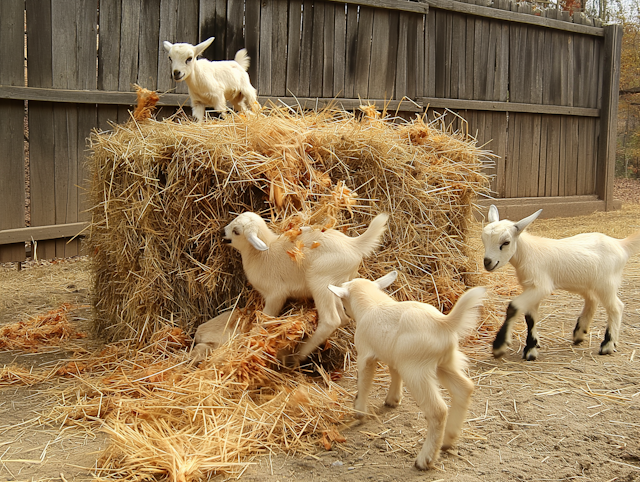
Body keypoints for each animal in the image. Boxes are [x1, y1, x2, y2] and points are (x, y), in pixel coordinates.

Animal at [222, 211, 388, 362]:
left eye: (236, 231)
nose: (222, 232)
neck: (262, 254)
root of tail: (354, 245)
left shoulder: (275, 294)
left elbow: (265, 318)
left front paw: (251, 339)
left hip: (320, 280)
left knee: (331, 320)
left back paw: (298, 355)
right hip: (337, 284)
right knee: (343, 317)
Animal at [330, 272, 484, 470]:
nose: (346, 313)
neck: (372, 304)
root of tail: (443, 323)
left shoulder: (365, 355)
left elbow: (363, 383)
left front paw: (359, 412)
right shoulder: (393, 357)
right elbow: (394, 372)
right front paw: (393, 400)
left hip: (416, 370)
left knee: (438, 410)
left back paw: (425, 460)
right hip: (445, 363)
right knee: (464, 389)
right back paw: (448, 440)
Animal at [482, 204, 640, 362]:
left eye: (506, 242)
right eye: (484, 240)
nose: (487, 262)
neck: (527, 253)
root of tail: (621, 245)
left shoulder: (540, 287)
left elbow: (513, 307)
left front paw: (499, 347)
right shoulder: (530, 288)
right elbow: (530, 317)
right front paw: (532, 347)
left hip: (606, 284)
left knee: (616, 307)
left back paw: (607, 345)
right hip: (587, 283)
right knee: (592, 300)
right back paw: (579, 334)